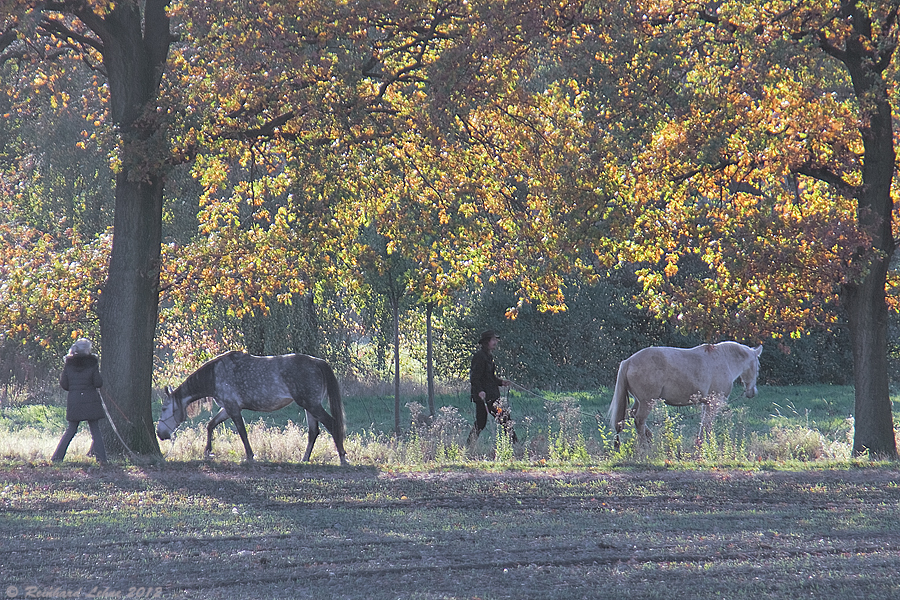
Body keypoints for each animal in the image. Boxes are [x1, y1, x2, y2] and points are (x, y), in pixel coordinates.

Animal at [158, 350, 348, 466]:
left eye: (164, 408)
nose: (160, 434)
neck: (215, 375)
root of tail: (318, 362)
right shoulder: (227, 408)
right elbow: (211, 425)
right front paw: (207, 452)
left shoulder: (233, 409)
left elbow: (242, 433)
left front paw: (250, 456)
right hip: (309, 406)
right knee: (313, 432)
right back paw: (304, 459)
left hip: (311, 405)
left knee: (331, 424)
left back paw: (342, 457)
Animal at [608, 342, 764, 450]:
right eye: (758, 366)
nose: (752, 392)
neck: (724, 359)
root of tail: (629, 361)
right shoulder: (714, 403)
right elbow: (708, 425)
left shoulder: (706, 403)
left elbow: (703, 424)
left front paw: (700, 444)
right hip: (647, 402)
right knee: (639, 420)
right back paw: (645, 447)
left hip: (640, 401)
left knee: (634, 415)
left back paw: (649, 438)